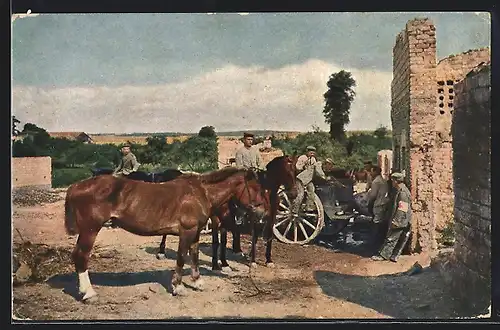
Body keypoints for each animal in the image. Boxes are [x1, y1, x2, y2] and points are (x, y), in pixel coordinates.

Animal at [65, 166, 274, 300]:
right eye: (256, 188)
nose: (264, 213)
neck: (200, 193)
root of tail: (76, 186)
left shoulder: (196, 232)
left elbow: (194, 255)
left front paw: (197, 282)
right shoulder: (187, 231)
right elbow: (181, 257)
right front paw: (178, 287)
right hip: (90, 230)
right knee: (81, 256)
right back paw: (89, 293)